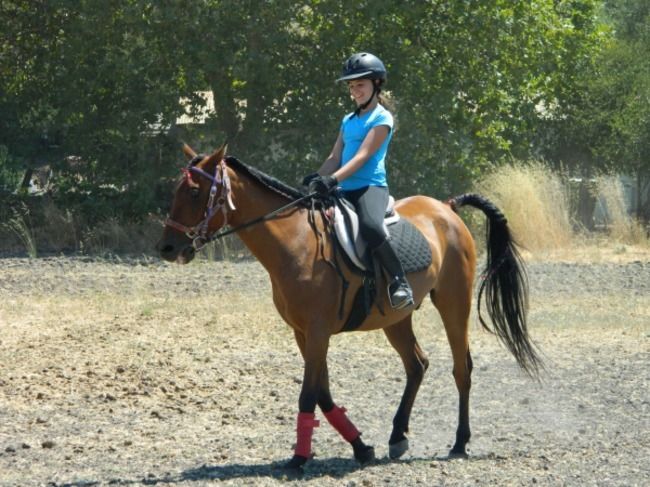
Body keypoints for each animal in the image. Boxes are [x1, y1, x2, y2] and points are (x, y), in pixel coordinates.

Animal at [154, 143, 540, 470]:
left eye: (193, 192)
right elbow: (323, 394)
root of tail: (446, 208)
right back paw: (397, 437)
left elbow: (308, 395)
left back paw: (459, 443)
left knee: (461, 369)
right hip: (395, 317)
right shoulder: (303, 333)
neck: (295, 243)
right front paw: (361, 447)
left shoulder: (318, 331)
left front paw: (299, 459)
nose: (167, 248)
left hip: (453, 303)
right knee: (417, 364)